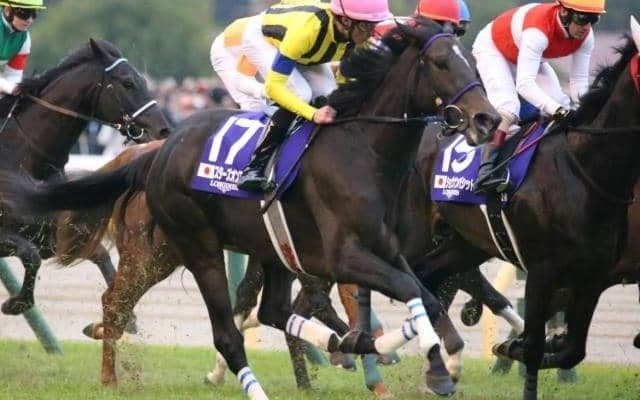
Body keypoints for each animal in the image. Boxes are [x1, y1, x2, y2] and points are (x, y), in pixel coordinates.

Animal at [0, 38, 170, 316]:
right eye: (127, 82)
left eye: (144, 81)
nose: (164, 129)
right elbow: (30, 254)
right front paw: (16, 303)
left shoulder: (52, 235)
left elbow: (101, 256)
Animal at [399, 29, 640, 400]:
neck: (585, 168)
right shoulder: (542, 271)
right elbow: (534, 348)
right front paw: (514, 347)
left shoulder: (593, 275)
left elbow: (572, 351)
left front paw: (512, 346)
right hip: (412, 234)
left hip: (466, 244)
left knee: (428, 277)